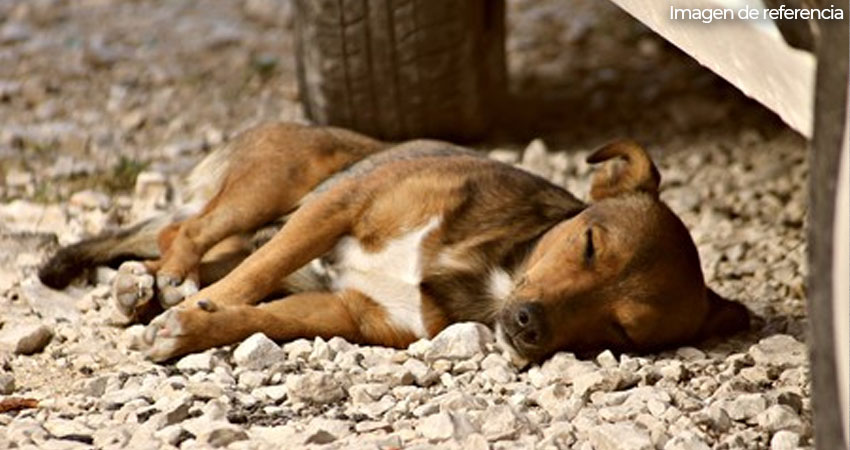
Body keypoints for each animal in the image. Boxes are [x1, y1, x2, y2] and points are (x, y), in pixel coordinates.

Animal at [39, 121, 744, 364]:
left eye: (623, 330)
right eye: (590, 244)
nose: (527, 324)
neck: (491, 270)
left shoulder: (350, 313)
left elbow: (258, 317)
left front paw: (193, 327)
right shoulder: (338, 205)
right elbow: (252, 281)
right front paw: (191, 310)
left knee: (186, 242)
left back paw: (144, 289)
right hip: (280, 183)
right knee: (184, 231)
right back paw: (161, 282)